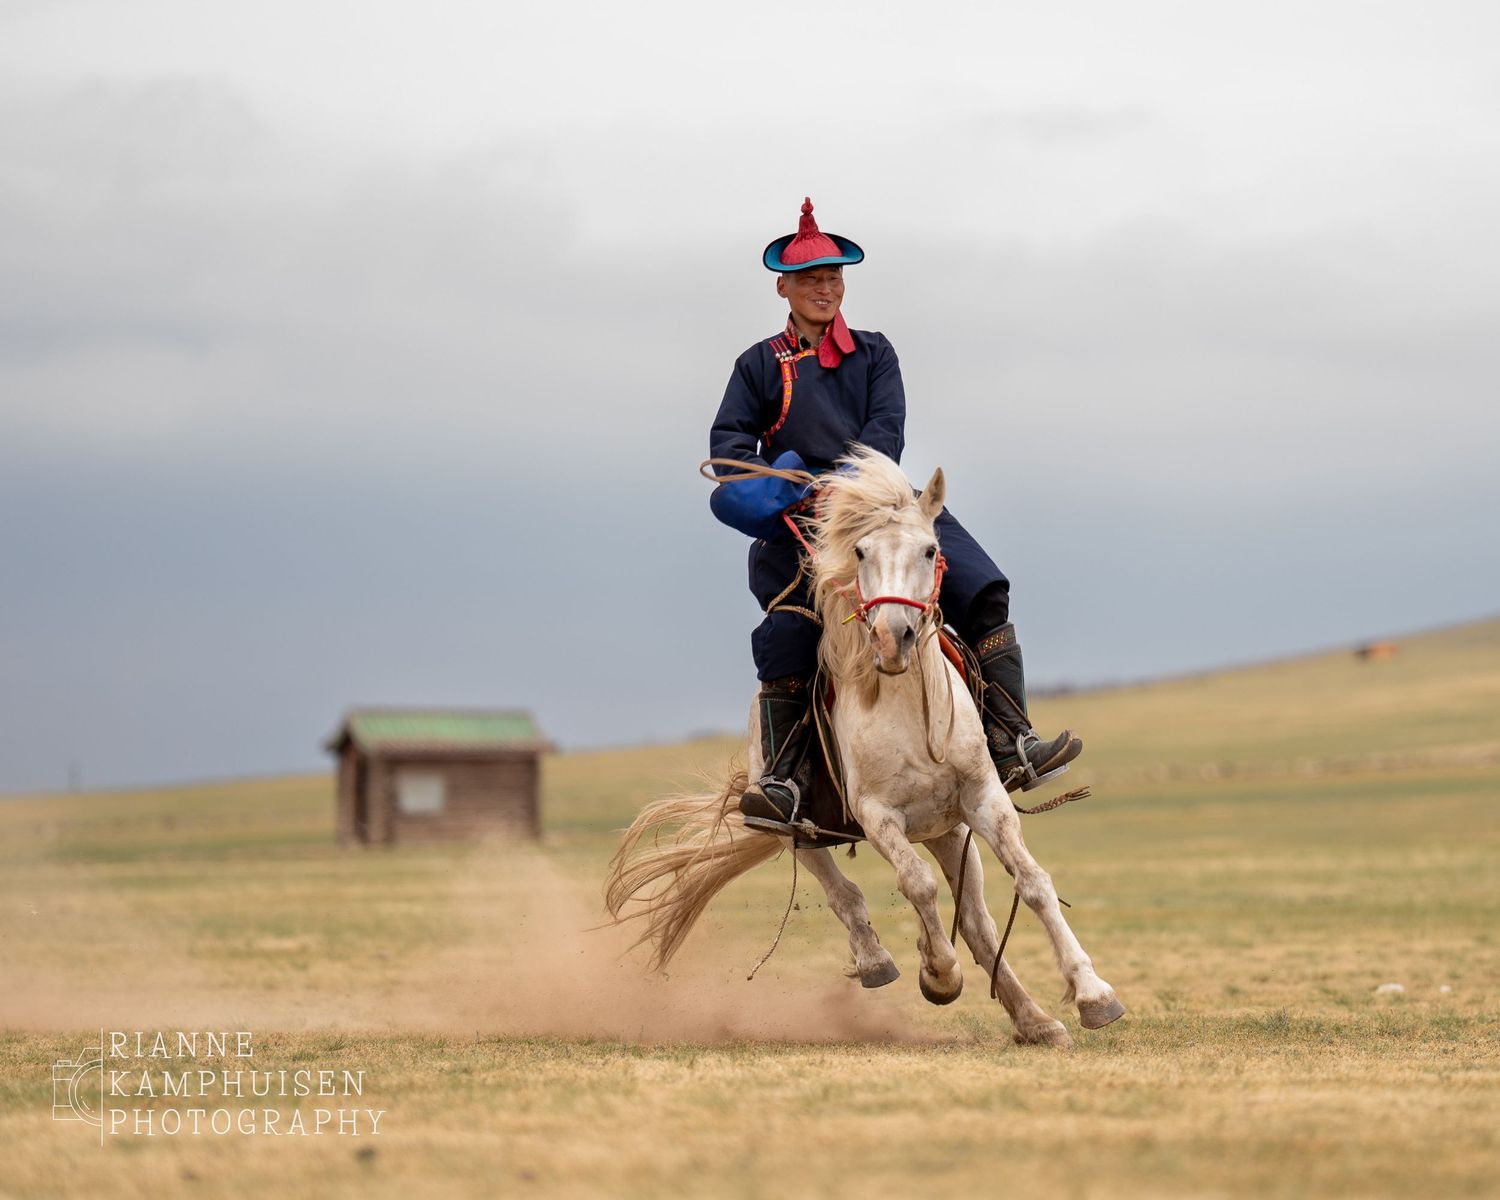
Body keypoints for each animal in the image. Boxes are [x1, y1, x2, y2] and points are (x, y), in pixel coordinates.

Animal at [604, 447, 1124, 1046]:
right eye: (859, 551)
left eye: (930, 549)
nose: (892, 638)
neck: (909, 711)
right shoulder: (877, 816)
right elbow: (916, 885)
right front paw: (939, 974)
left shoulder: (984, 800)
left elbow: (1034, 882)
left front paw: (1093, 994)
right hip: (799, 834)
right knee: (846, 893)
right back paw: (880, 962)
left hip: (950, 831)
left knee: (976, 921)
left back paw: (1034, 1019)